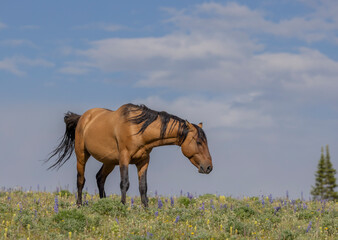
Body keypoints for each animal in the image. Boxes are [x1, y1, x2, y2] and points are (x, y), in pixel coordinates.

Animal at [46, 103, 213, 206]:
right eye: (199, 142)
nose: (208, 167)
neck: (138, 129)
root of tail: (83, 118)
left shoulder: (143, 161)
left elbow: (143, 186)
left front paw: (146, 209)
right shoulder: (124, 159)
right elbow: (124, 183)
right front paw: (122, 206)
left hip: (109, 162)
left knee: (100, 178)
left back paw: (104, 202)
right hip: (82, 155)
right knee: (81, 180)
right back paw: (79, 205)